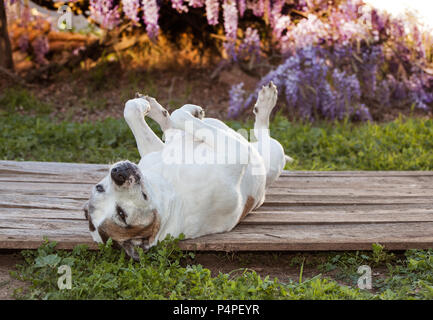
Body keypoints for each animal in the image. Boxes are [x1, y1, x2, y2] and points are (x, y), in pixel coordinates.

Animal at [82, 82, 292, 260]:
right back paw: (265, 104)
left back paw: (159, 108)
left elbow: (132, 110)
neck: (169, 189)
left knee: (169, 130)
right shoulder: (235, 151)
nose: (118, 174)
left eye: (99, 188)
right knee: (262, 132)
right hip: (274, 153)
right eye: (122, 215)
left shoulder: (154, 154)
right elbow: (178, 115)